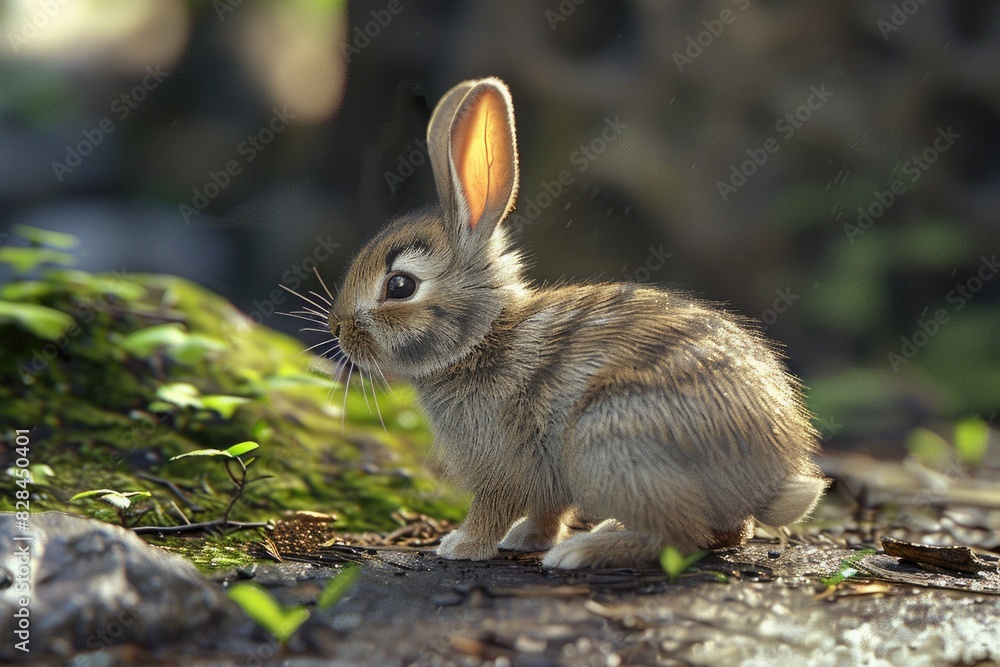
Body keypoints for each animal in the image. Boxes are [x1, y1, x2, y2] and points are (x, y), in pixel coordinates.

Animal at [323, 77, 828, 569]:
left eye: (400, 286)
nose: (337, 329)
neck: (481, 338)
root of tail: (769, 482)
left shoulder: (504, 465)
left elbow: (492, 507)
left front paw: (462, 545)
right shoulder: (546, 481)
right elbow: (548, 511)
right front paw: (524, 539)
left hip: (611, 444)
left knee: (678, 538)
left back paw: (583, 551)